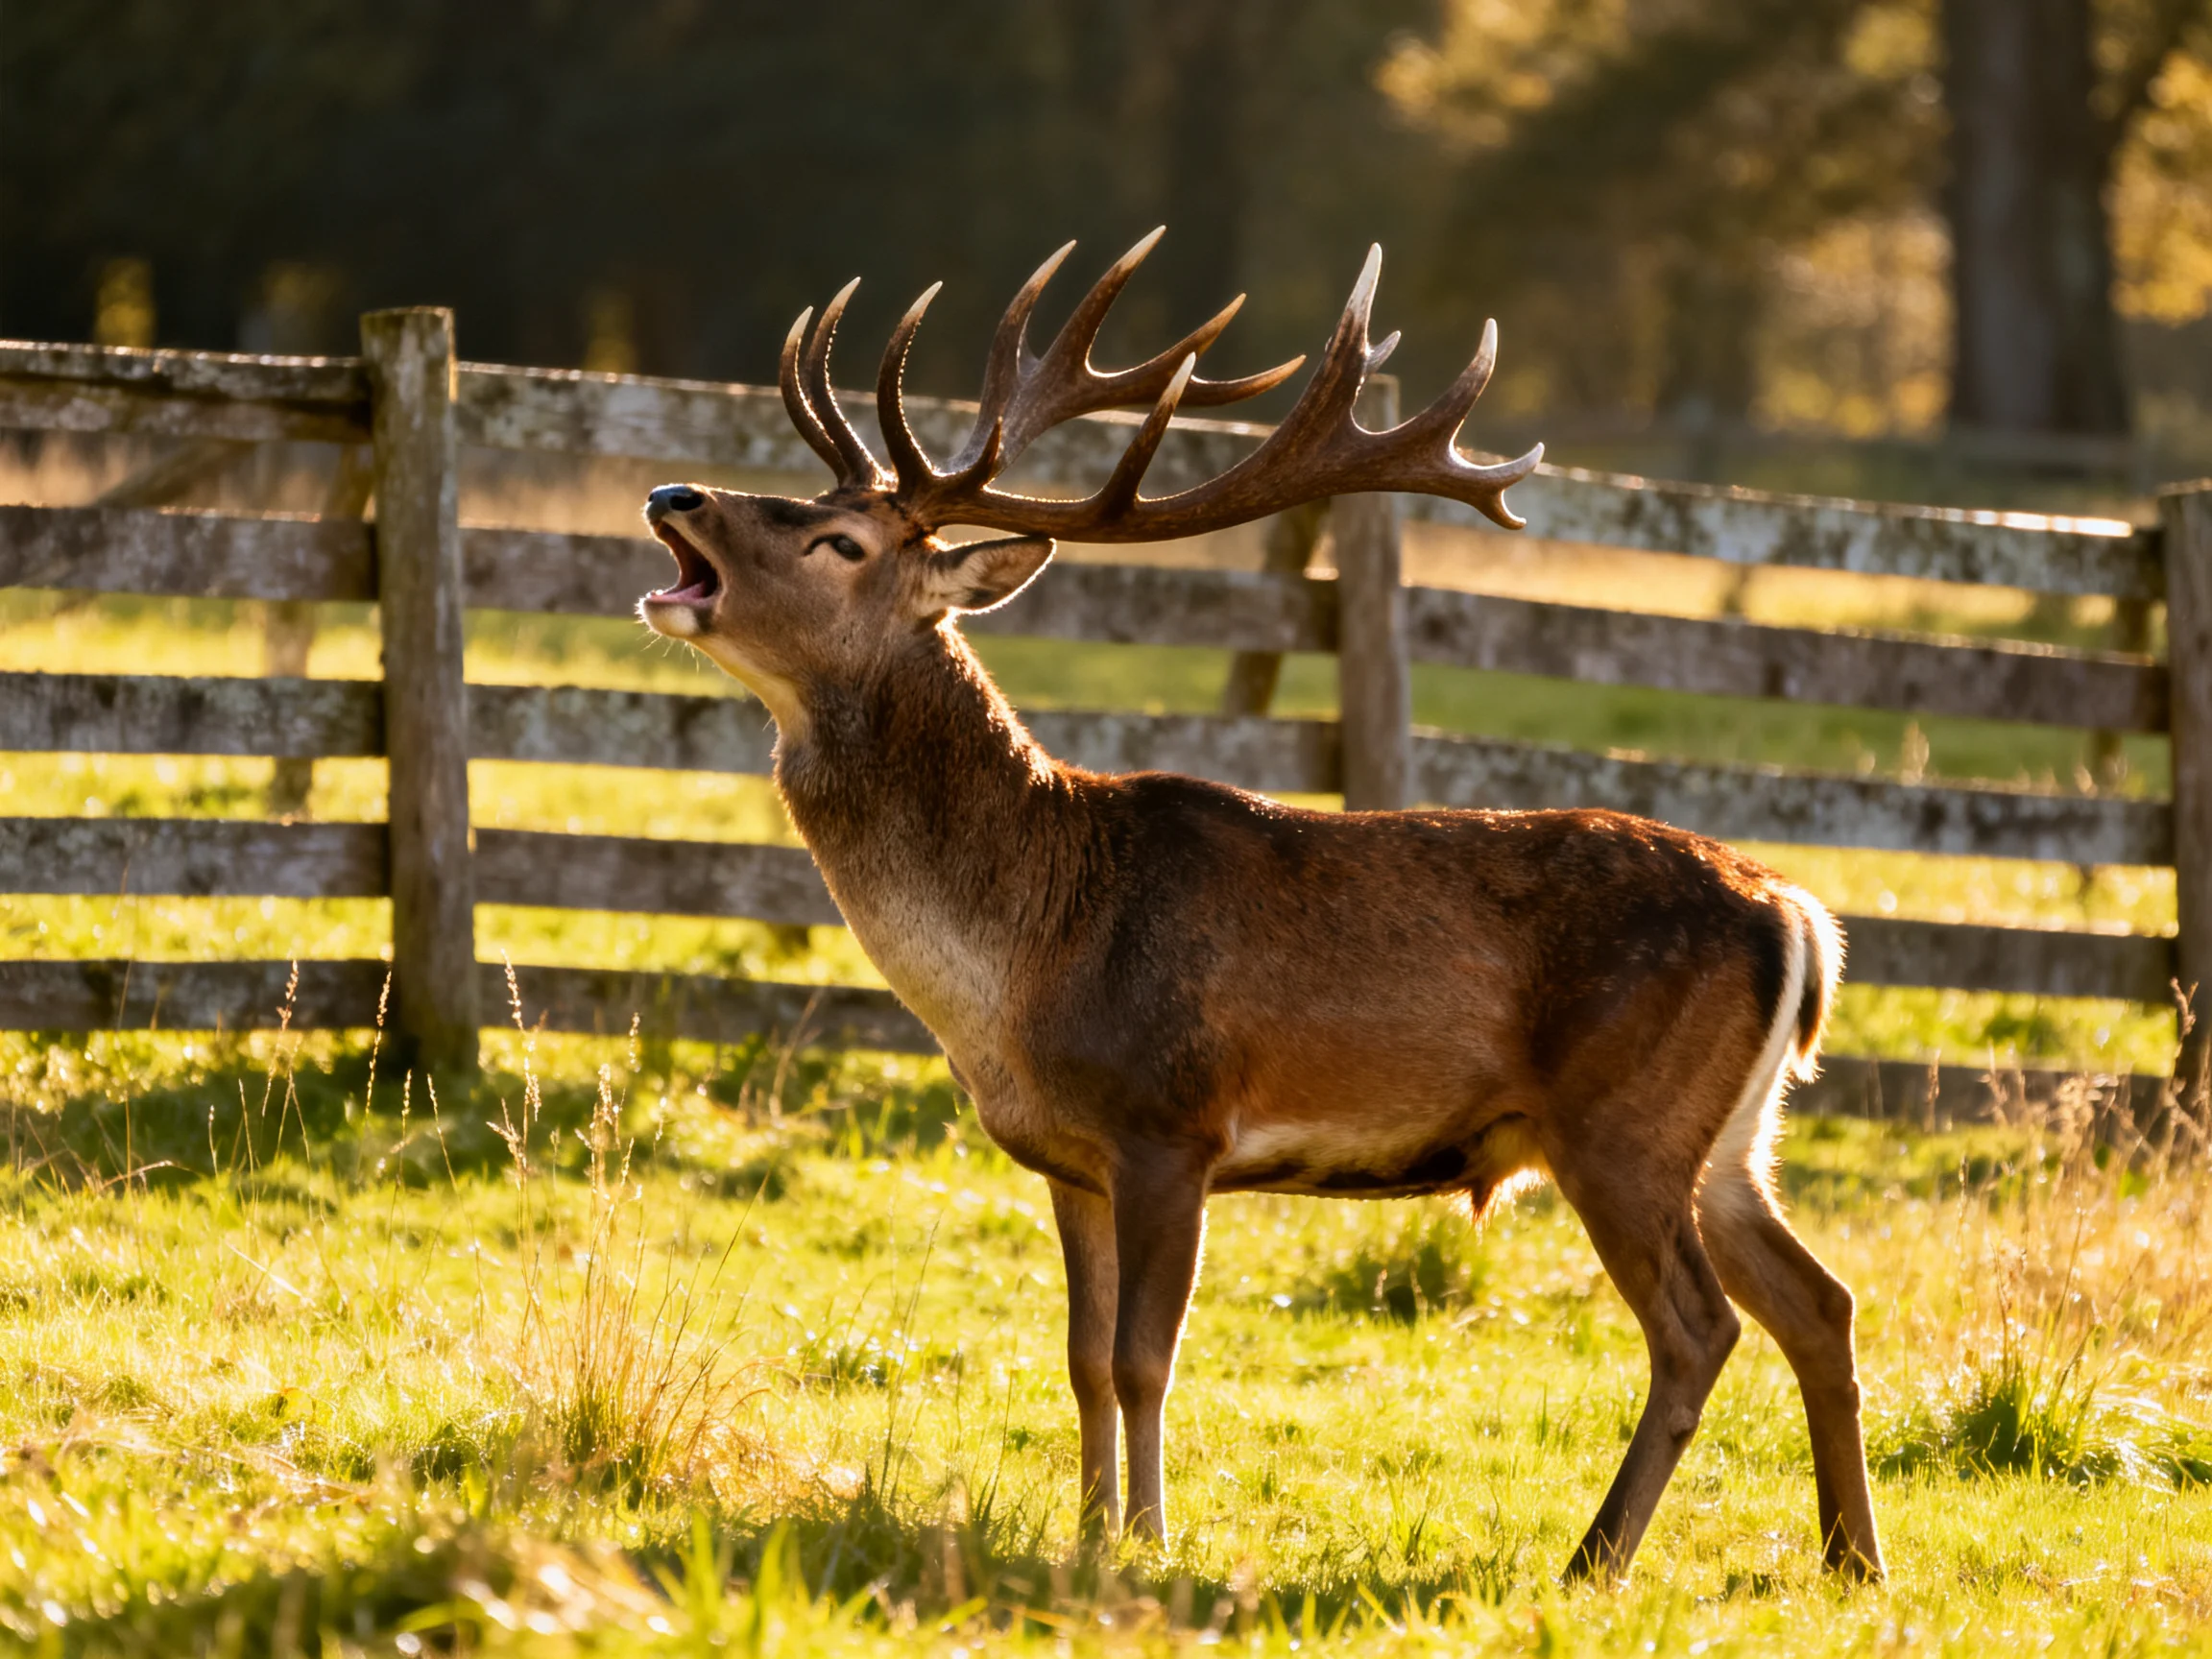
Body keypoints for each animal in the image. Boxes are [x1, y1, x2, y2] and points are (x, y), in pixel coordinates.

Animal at [635, 231, 1884, 1584]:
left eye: (841, 543)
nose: (674, 497)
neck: (1021, 957)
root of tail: (1797, 916)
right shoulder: (1067, 1158)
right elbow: (1080, 1362)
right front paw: (1087, 1532)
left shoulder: (1169, 1121)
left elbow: (1144, 1358)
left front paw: (1145, 1543)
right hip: (1732, 1136)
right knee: (1820, 1300)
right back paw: (1851, 1561)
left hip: (1624, 1120)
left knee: (1700, 1328)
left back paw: (1594, 1559)